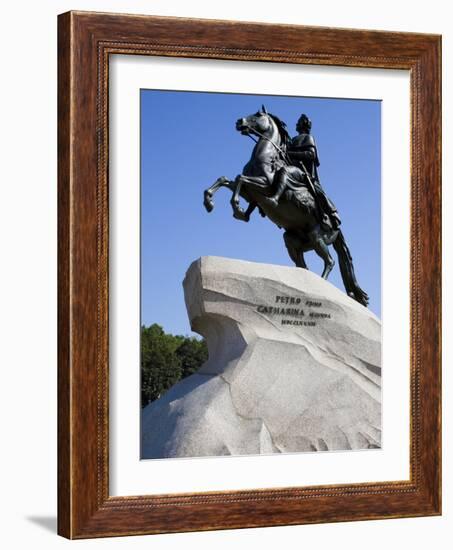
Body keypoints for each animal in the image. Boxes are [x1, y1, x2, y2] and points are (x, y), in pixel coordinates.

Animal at [202, 106, 368, 306]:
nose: (239, 122)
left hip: (317, 237)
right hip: (293, 240)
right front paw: (210, 202)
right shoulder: (250, 193)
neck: (266, 155)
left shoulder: (264, 185)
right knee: (303, 265)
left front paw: (238, 208)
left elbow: (241, 179)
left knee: (330, 261)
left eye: (258, 115)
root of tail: (338, 228)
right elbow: (226, 179)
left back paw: (321, 287)